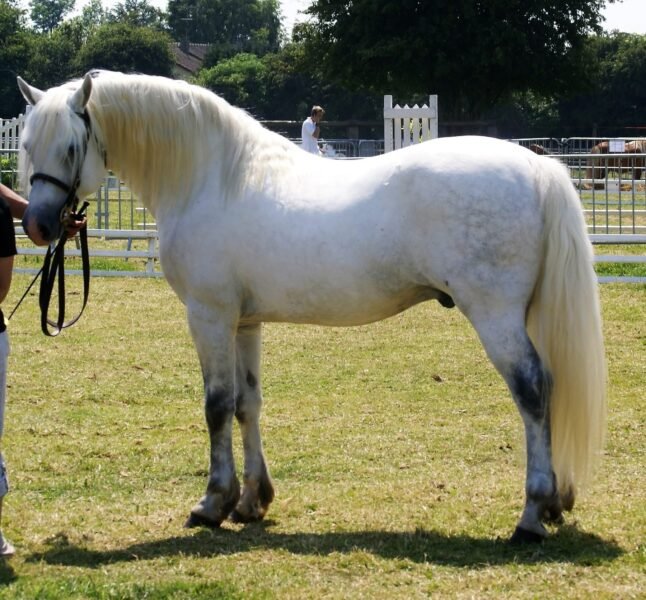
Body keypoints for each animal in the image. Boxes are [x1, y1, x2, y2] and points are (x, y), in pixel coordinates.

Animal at [16, 71, 606, 544]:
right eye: (24, 144)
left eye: (70, 147)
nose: (39, 225)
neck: (212, 179)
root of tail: (536, 167)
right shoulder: (245, 322)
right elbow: (247, 405)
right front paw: (252, 501)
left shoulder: (209, 316)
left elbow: (215, 406)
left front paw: (212, 503)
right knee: (550, 387)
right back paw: (555, 503)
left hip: (495, 315)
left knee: (532, 390)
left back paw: (531, 515)